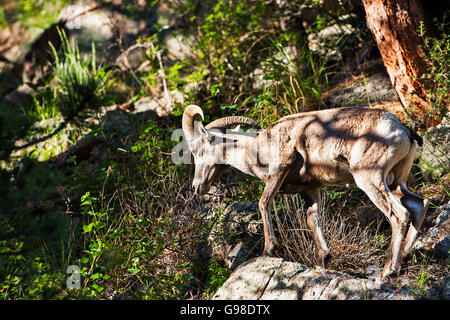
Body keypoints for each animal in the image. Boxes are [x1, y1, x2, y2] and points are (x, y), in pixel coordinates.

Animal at [183, 104, 428, 278]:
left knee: (399, 215)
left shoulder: (279, 171)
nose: (197, 187)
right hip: (396, 182)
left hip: (370, 179)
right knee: (419, 204)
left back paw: (389, 271)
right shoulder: (311, 191)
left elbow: (264, 203)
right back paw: (405, 259)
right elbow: (312, 220)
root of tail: (402, 130)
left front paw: (268, 250)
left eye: (197, 151)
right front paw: (324, 260)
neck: (256, 147)